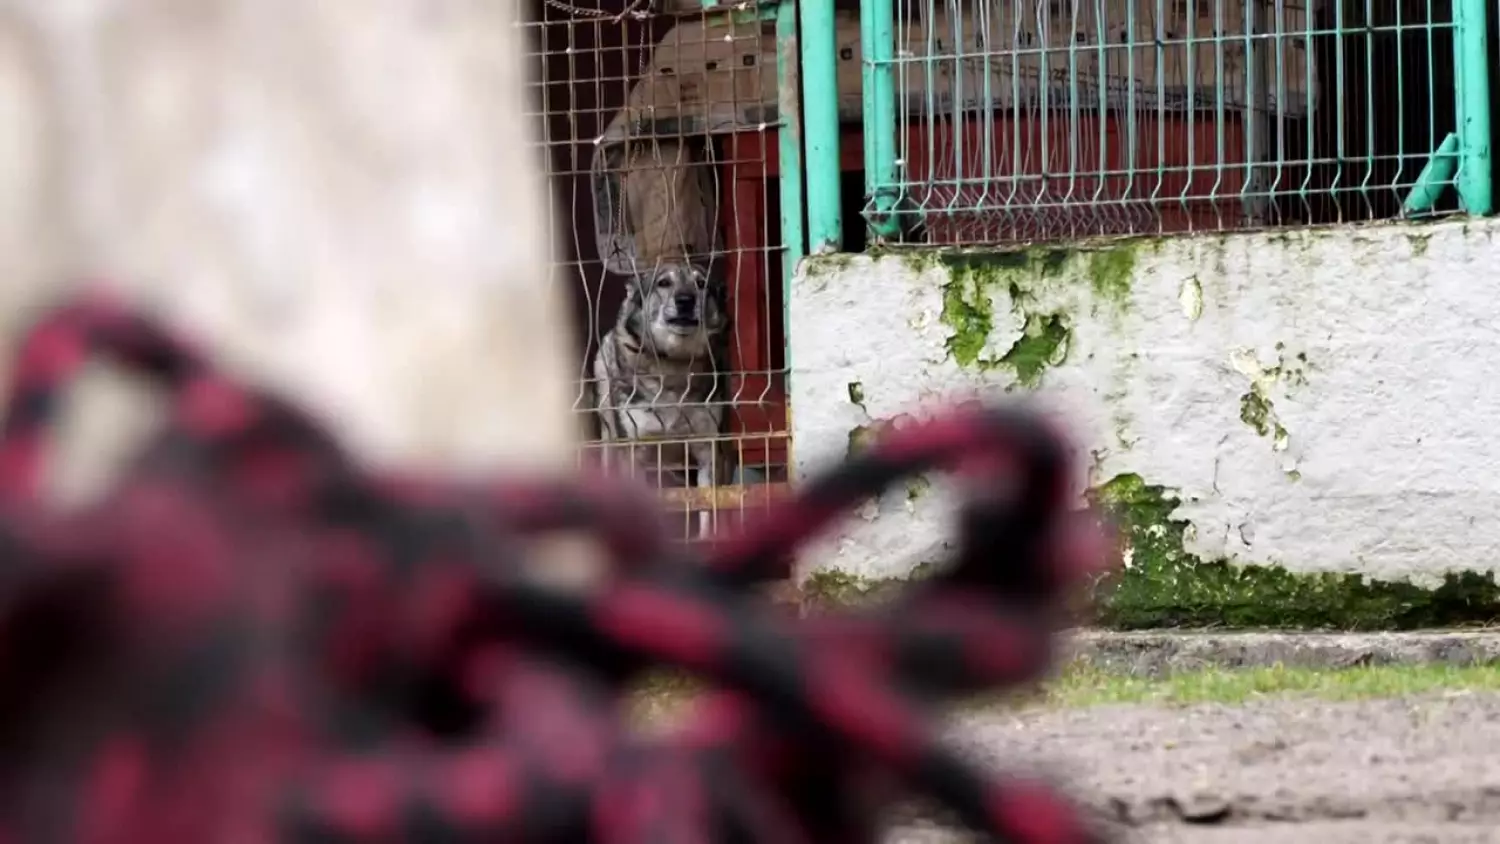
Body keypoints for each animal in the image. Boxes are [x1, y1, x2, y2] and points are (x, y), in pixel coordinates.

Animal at [594, 259, 741, 533]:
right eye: (663, 283)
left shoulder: (709, 451)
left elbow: (707, 506)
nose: (685, 300)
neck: (674, 364)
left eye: (701, 283)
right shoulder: (634, 453)